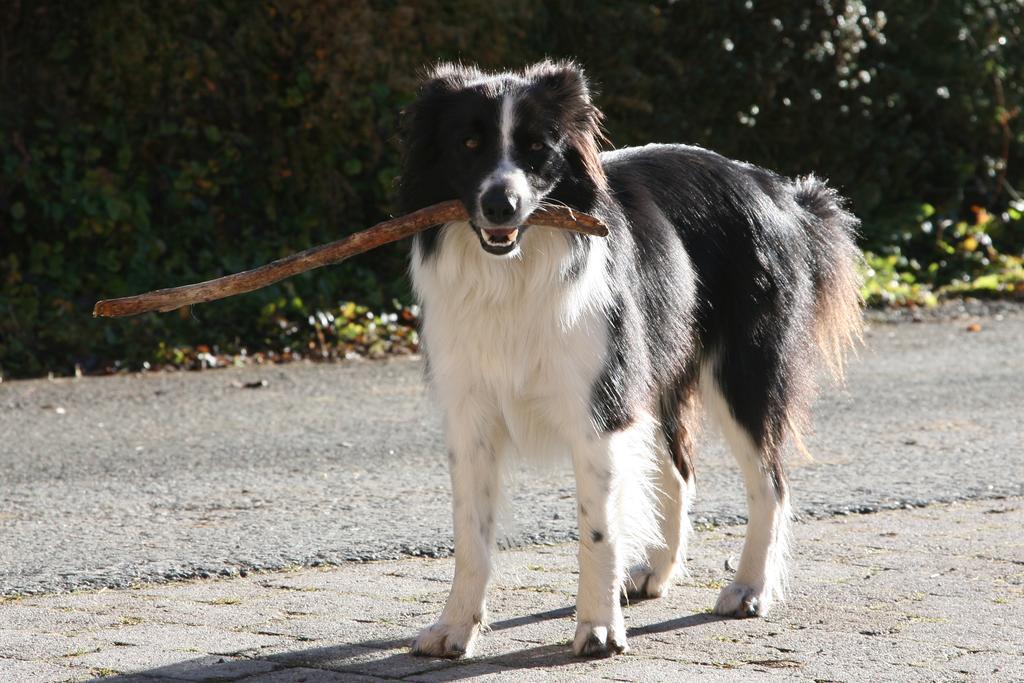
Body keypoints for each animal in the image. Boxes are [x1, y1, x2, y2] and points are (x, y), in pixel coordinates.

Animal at [395, 61, 860, 659]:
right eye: (468, 144)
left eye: (537, 148)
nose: (501, 205)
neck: (513, 271)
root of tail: (780, 192)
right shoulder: (469, 414)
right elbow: (470, 535)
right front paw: (455, 628)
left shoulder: (599, 409)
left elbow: (598, 530)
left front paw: (597, 630)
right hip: (655, 372)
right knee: (680, 473)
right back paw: (655, 574)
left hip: (741, 373)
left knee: (769, 482)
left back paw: (748, 590)